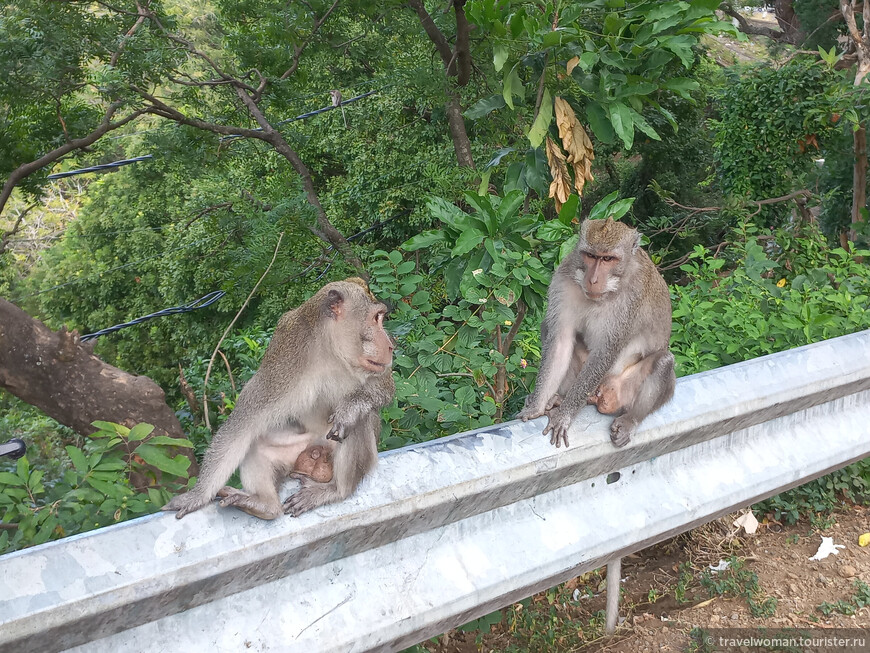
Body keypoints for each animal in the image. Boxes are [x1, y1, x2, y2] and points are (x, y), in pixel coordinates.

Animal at [164, 276, 396, 520]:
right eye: (376, 318)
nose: (391, 346)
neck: (331, 350)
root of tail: (319, 448)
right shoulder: (283, 360)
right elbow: (243, 424)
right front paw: (197, 496)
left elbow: (383, 388)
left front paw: (350, 408)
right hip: (298, 451)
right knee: (255, 443)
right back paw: (264, 505)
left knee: (358, 421)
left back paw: (336, 490)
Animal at [520, 218, 676, 448]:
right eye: (591, 256)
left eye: (608, 259)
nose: (593, 280)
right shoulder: (563, 278)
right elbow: (560, 341)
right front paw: (536, 406)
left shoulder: (631, 299)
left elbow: (605, 352)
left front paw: (564, 416)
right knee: (548, 328)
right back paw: (558, 399)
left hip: (621, 391)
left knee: (664, 361)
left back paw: (630, 420)